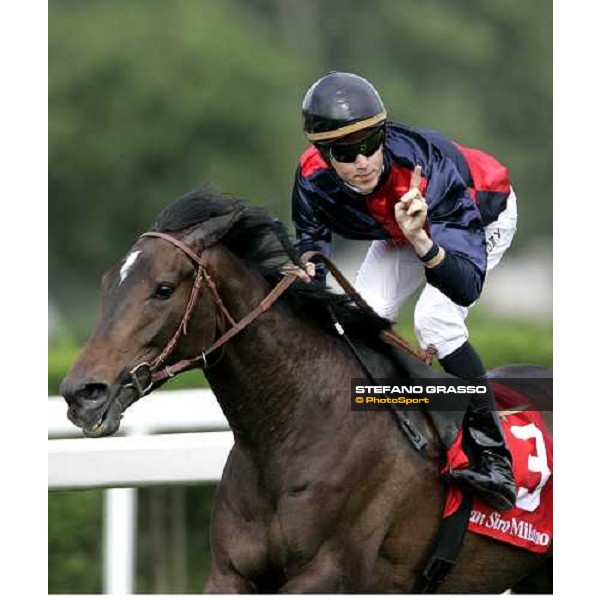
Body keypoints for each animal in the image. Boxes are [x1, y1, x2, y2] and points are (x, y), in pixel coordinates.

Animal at [58, 190, 552, 592]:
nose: (82, 393)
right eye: (107, 285)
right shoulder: (230, 574)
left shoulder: (329, 573)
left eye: (163, 289)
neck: (290, 431)